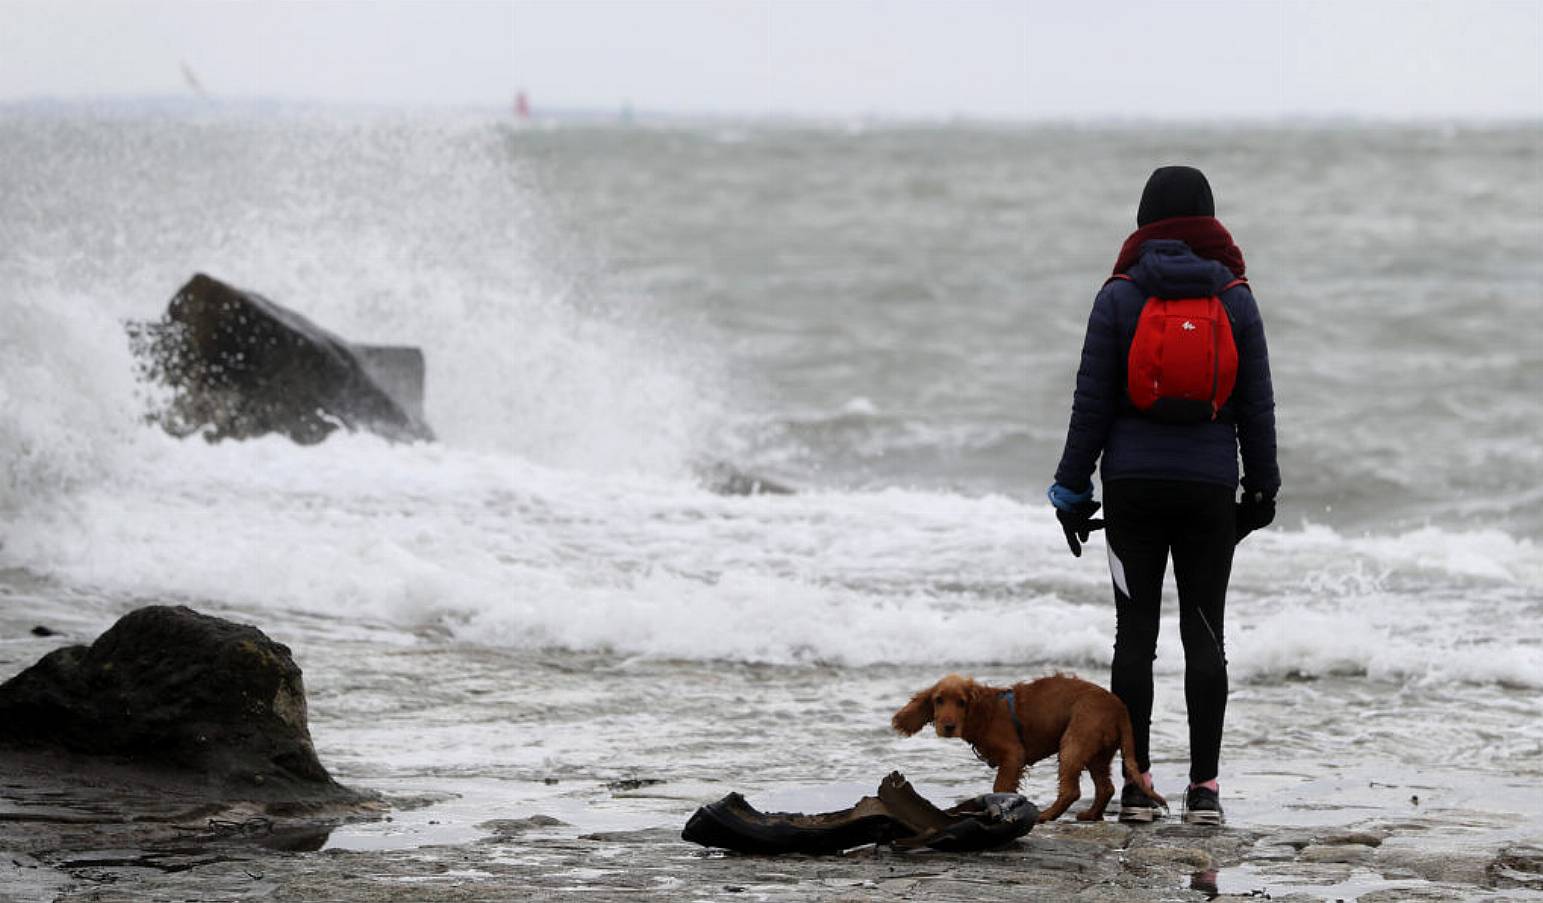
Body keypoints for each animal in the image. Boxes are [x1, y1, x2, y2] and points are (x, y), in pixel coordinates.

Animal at [888, 673, 1160, 821]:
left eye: (962, 703)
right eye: (938, 700)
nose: (948, 726)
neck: (987, 712)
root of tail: (1119, 707)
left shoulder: (1013, 756)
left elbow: (1000, 787)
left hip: (1073, 743)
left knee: (1072, 790)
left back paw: (1046, 816)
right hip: (1097, 753)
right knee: (1106, 787)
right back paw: (1091, 815)